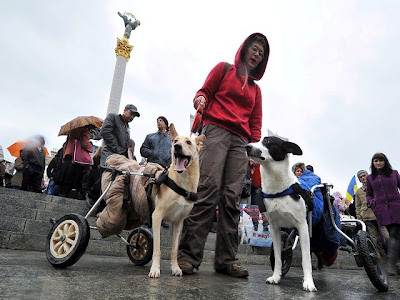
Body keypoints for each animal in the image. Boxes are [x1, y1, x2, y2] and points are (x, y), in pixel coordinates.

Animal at [148, 123, 205, 278]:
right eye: (175, 141)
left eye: (189, 142)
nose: (177, 146)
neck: (182, 184)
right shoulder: (157, 216)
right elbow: (157, 249)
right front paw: (155, 269)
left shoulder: (179, 222)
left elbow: (174, 250)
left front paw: (175, 268)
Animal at [245, 137, 318, 292]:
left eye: (267, 141)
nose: (246, 146)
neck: (278, 189)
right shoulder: (275, 228)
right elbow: (279, 256)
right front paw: (276, 276)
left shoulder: (302, 227)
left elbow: (306, 260)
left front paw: (309, 282)